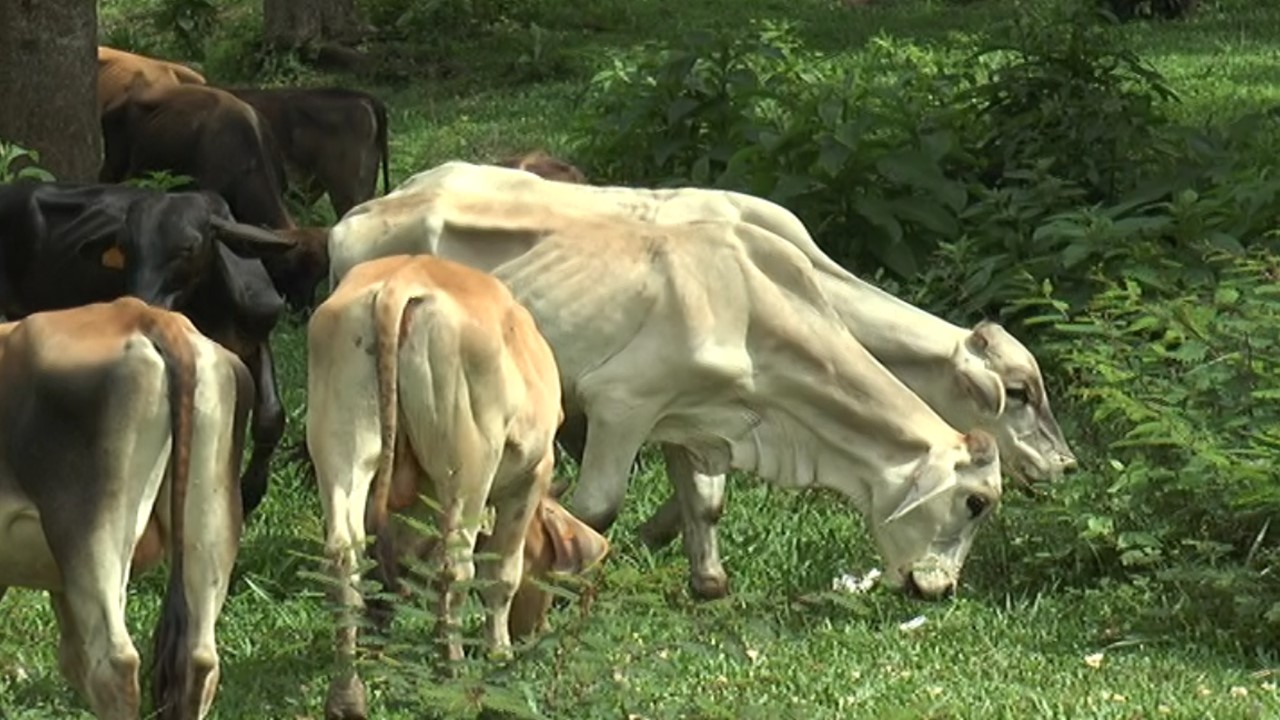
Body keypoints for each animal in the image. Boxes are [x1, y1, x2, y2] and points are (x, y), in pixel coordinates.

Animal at [0, 179, 294, 515]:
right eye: (125, 248)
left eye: (188, 248)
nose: (137, 305)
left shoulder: (255, 340)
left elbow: (270, 415)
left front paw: (251, 492)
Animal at [308, 253, 609, 717]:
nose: (533, 629)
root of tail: (402, 279)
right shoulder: (531, 474)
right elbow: (502, 571)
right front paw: (499, 651)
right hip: (469, 465)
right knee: (455, 566)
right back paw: (454, 670)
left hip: (342, 446)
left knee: (345, 556)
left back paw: (347, 693)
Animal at [327, 161, 1070, 594]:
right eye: (1021, 393)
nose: (1065, 465)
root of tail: (357, 217)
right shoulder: (621, 404)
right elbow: (597, 506)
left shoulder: (702, 420)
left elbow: (704, 500)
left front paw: (699, 572)